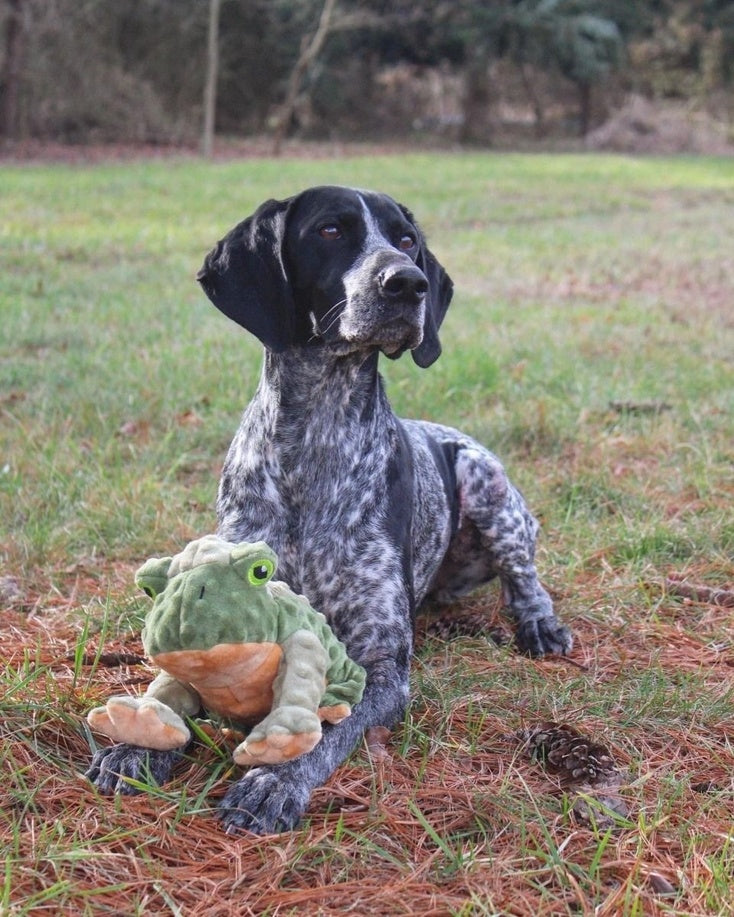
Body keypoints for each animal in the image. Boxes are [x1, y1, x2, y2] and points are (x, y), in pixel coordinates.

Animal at [85, 184, 568, 832]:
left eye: (406, 239)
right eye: (330, 231)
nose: (407, 282)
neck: (315, 438)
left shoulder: (381, 664)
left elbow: (321, 725)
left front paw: (274, 780)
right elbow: (170, 687)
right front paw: (135, 745)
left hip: (484, 479)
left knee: (524, 575)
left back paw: (539, 622)